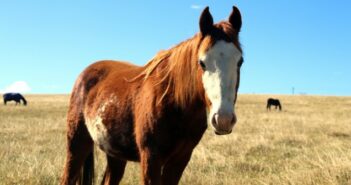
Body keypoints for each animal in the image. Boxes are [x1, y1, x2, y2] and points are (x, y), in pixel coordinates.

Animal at [61, 6, 245, 185]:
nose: (223, 119)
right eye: (202, 62)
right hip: (77, 144)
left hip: (115, 153)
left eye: (240, 61)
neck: (174, 102)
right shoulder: (151, 158)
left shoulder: (180, 160)